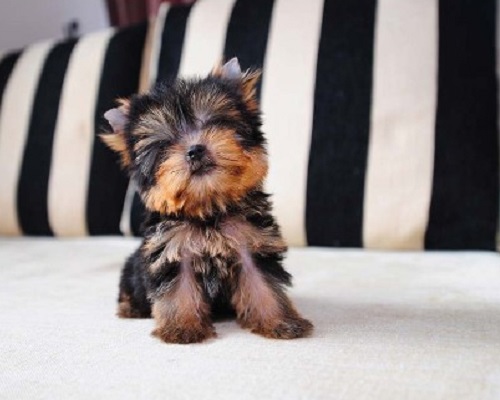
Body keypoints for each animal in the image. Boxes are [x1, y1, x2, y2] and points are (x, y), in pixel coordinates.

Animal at [100, 57, 312, 342]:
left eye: (214, 122)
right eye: (164, 144)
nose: (195, 150)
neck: (208, 208)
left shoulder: (252, 244)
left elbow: (263, 285)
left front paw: (279, 321)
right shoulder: (172, 251)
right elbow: (178, 290)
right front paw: (181, 328)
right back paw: (130, 308)